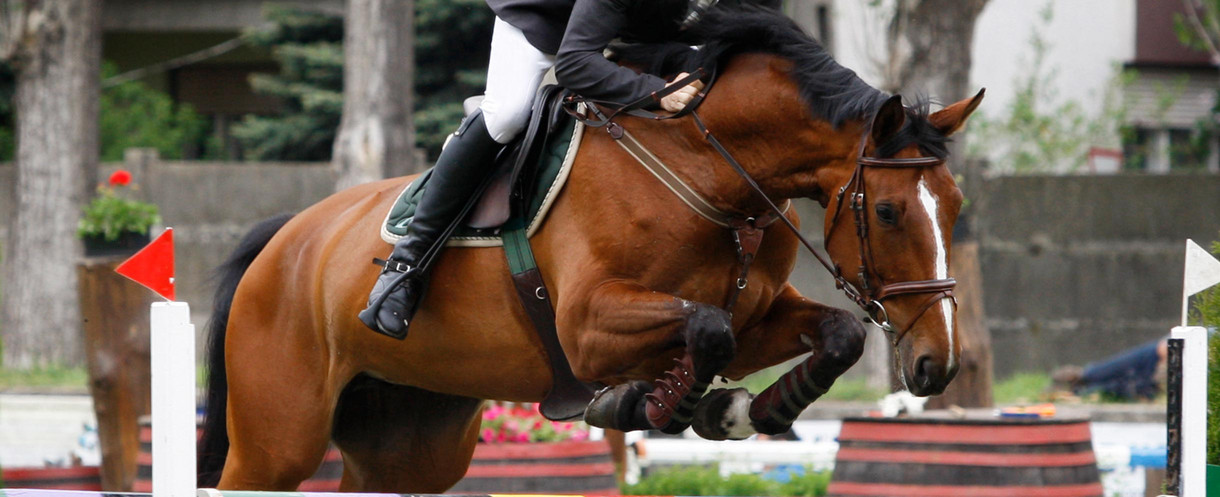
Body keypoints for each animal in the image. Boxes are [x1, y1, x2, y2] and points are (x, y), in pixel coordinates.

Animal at [197, 7, 980, 493]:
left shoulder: (757, 318)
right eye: (888, 211)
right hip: (278, 439)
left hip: (412, 436)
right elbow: (706, 329)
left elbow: (833, 332)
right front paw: (652, 404)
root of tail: (283, 237)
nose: (935, 365)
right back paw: (393, 292)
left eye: (956, 207)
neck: (708, 169)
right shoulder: (588, 326)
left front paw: (746, 411)